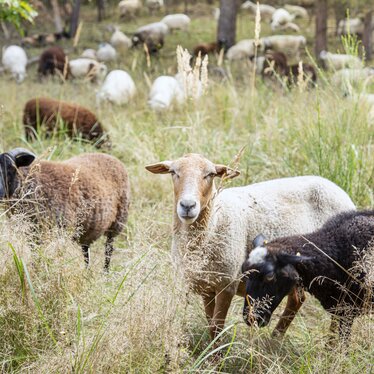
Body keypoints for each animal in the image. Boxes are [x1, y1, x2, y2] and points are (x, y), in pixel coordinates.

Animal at [0, 148, 130, 272]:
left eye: (11, 168)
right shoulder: (33, 233)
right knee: (85, 251)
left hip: (117, 223)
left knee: (108, 249)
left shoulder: (61, 230)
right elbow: (36, 254)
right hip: (86, 230)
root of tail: (112, 158)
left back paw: (105, 273)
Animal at [145, 153, 356, 340]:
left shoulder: (227, 284)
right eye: (173, 172)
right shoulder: (207, 285)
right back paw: (274, 342)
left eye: (210, 174)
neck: (213, 223)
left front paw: (215, 357)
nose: (188, 205)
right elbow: (209, 322)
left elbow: (216, 327)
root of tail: (336, 188)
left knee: (338, 310)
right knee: (298, 300)